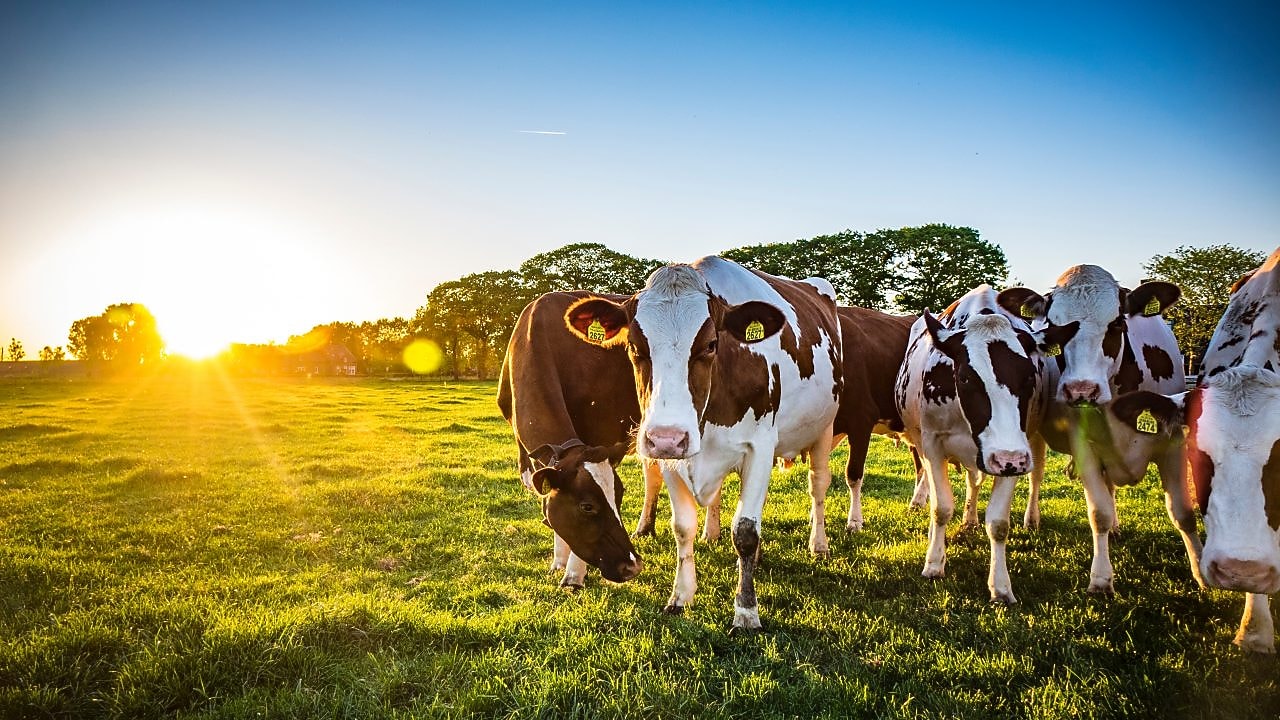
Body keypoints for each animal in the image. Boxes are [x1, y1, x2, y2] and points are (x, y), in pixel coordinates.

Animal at [497, 290, 661, 589]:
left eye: (619, 496)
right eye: (587, 507)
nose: (632, 566)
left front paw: (573, 575)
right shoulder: (531, 455)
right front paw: (558, 562)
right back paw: (644, 529)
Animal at [563, 256, 843, 629]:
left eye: (711, 344)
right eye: (634, 347)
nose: (667, 437)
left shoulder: (761, 446)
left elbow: (745, 531)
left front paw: (746, 611)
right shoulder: (672, 458)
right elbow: (683, 527)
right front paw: (680, 597)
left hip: (824, 428)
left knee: (818, 485)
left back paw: (818, 544)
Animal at [895, 285, 1047, 603]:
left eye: (1029, 376)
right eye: (965, 377)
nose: (1008, 459)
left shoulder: (1013, 452)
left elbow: (999, 523)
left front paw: (1000, 586)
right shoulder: (932, 444)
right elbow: (941, 508)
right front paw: (934, 563)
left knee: (1024, 477)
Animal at [998, 265, 1204, 597]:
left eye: (1118, 323)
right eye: (1054, 327)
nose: (1081, 390)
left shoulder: (1173, 441)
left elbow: (1183, 513)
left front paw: (1200, 571)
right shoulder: (1084, 446)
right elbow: (1099, 513)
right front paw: (1101, 579)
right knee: (1037, 475)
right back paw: (1032, 518)